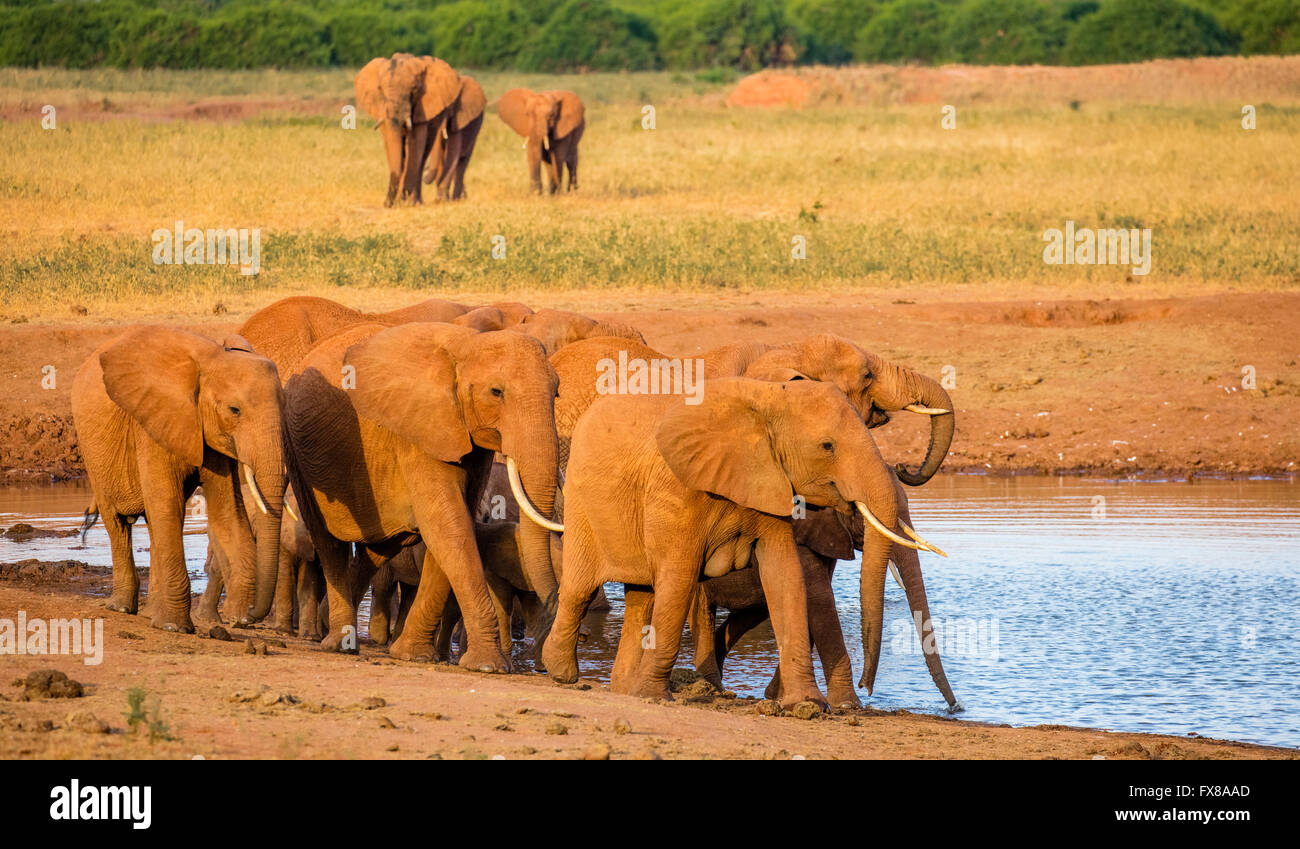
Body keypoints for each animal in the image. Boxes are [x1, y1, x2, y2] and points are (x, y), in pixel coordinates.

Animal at [71, 327, 287, 631]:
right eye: (234, 410)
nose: (249, 616)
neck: (210, 360)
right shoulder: (152, 419)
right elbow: (167, 504)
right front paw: (175, 626)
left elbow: (228, 510)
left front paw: (236, 617)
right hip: (94, 454)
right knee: (119, 523)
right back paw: (122, 608)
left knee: (155, 524)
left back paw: (151, 614)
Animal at [282, 321, 561, 670]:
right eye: (496, 392)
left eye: (557, 392)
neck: (467, 343)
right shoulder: (417, 430)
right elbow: (448, 526)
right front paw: (488, 665)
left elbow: (454, 524)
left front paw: (411, 654)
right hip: (297, 449)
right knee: (328, 541)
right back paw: (338, 644)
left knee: (379, 548)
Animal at [353, 54, 460, 205]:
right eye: (380, 89)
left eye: (414, 89)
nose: (386, 203)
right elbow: (392, 145)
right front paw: (396, 202)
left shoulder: (423, 108)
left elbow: (414, 146)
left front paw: (403, 201)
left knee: (422, 154)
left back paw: (414, 201)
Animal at [540, 377, 935, 707]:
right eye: (827, 446)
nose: (869, 689)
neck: (766, 402)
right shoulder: (678, 488)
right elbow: (680, 579)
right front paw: (656, 696)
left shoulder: (774, 485)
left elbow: (784, 576)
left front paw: (807, 706)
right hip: (582, 505)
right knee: (581, 588)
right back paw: (562, 672)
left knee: (642, 596)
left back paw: (625, 689)